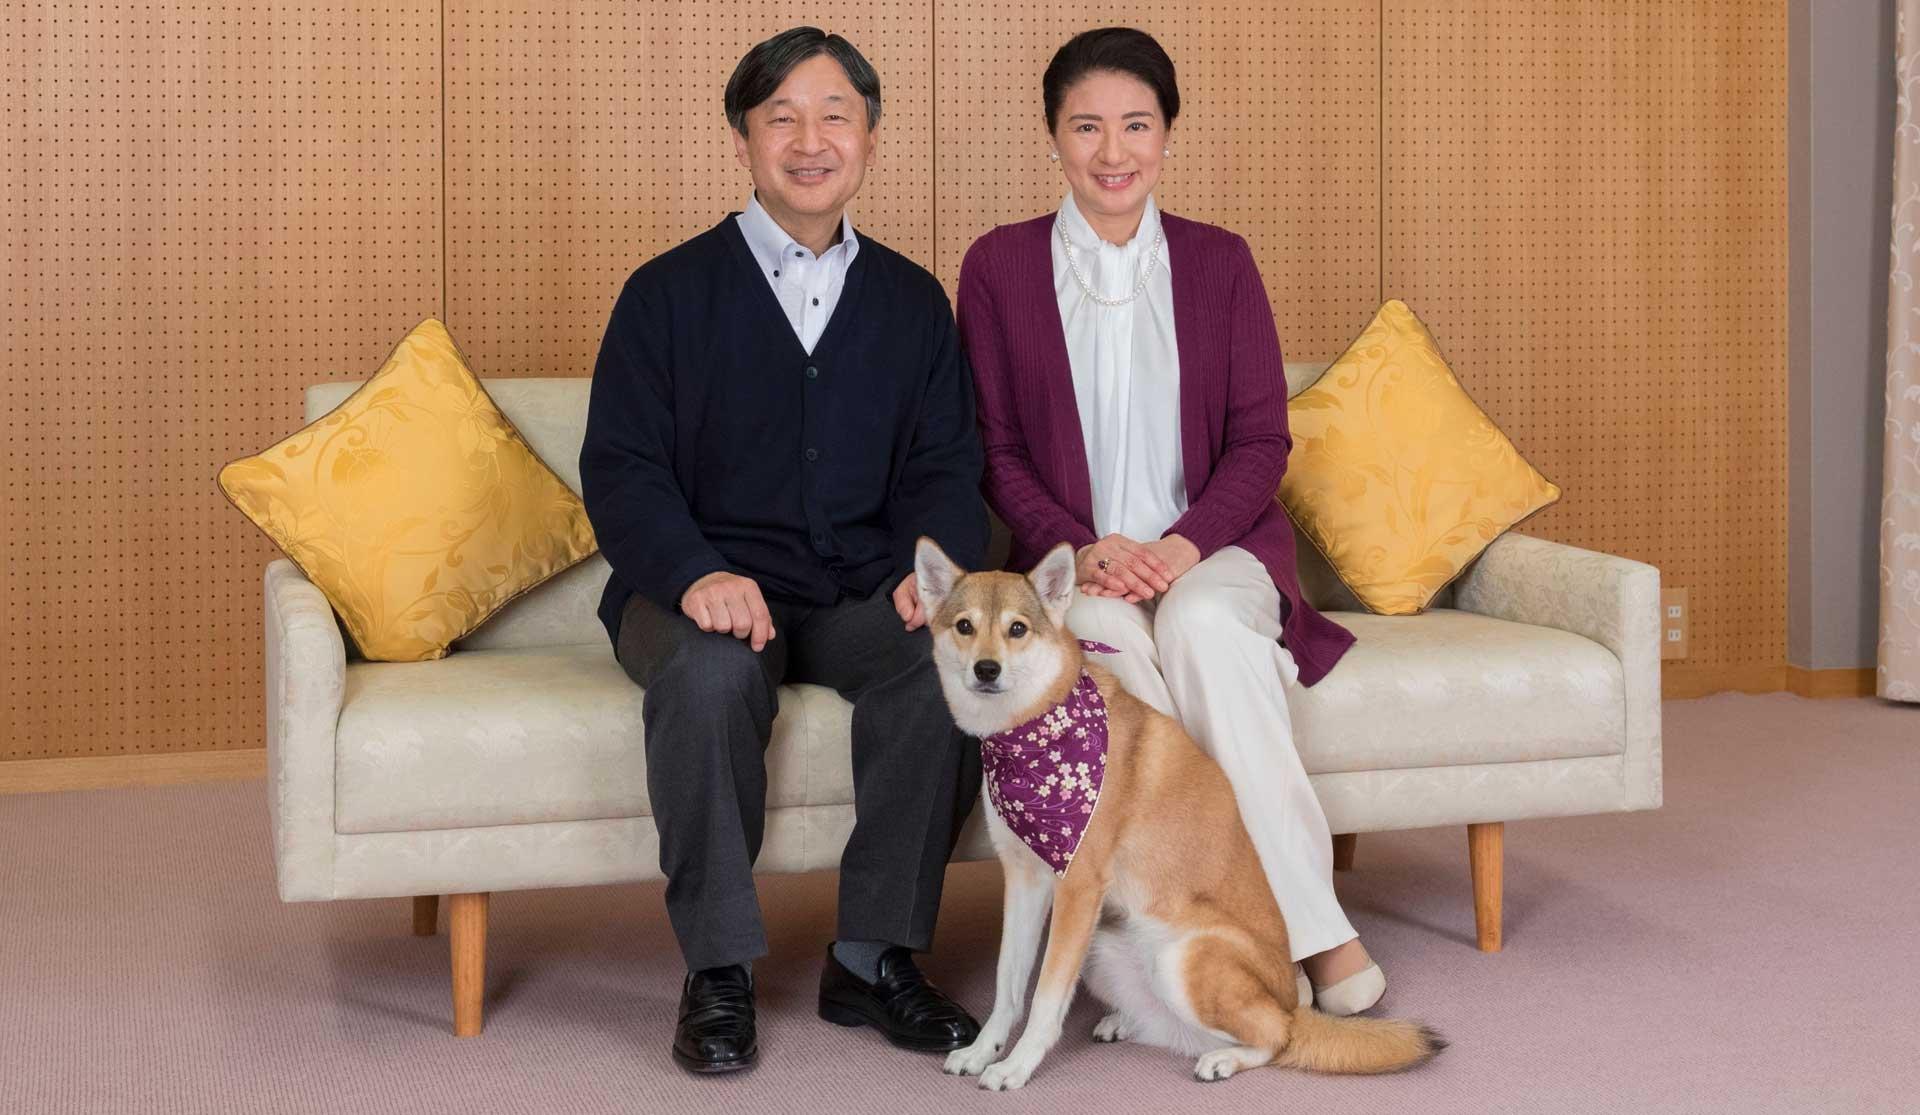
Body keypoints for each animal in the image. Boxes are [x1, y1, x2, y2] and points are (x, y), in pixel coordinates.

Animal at [913, 537, 1443, 1090]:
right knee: (1181, 1026)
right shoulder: (1024, 881)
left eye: (1017, 628)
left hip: (1181, 959)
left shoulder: (1076, 888)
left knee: (1276, 1036)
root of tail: (1291, 1002)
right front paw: (982, 1050)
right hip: (1104, 948)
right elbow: (1008, 986)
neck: (1032, 737)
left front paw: (1015, 1066)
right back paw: (1130, 1023)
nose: (986, 669)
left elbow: (1044, 999)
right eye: (964, 626)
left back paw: (1225, 1059)